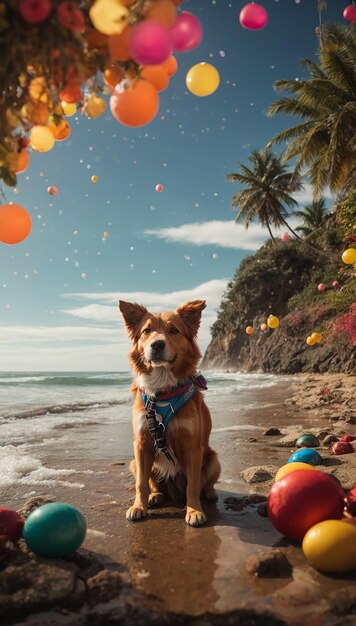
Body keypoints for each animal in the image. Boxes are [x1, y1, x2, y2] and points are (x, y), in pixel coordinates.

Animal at [119, 300, 220, 524]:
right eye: (146, 331)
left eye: (174, 330)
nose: (157, 345)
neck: (161, 390)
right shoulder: (141, 444)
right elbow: (141, 483)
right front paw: (139, 506)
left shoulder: (193, 447)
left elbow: (193, 484)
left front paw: (193, 510)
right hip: (134, 462)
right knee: (152, 483)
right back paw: (155, 496)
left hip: (214, 460)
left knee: (205, 483)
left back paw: (209, 493)